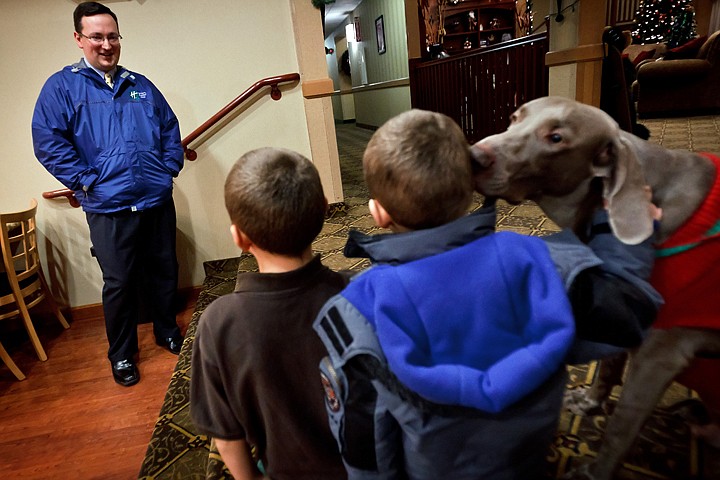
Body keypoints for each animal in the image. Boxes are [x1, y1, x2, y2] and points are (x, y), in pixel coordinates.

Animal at [470, 95, 720, 478]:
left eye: (556, 138)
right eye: (514, 118)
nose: (473, 155)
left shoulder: (660, 354)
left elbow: (619, 426)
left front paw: (595, 472)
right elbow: (608, 365)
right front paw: (589, 402)